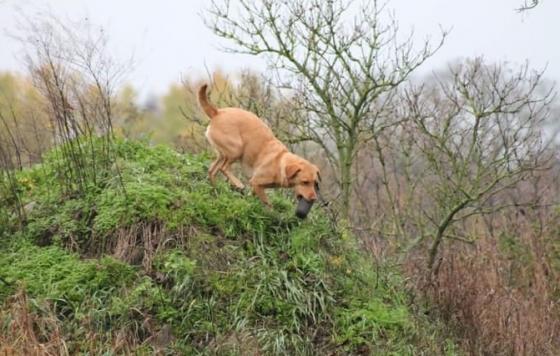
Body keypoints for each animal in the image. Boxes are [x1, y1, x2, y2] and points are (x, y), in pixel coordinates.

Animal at [198, 84, 320, 217]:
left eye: (314, 183)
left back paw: (216, 190)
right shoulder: (256, 181)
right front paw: (271, 214)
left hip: (222, 154)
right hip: (236, 150)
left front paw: (248, 204)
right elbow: (267, 202)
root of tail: (218, 112)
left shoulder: (257, 186)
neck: (280, 161)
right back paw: (237, 184)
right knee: (223, 168)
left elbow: (253, 195)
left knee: (212, 170)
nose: (314, 198)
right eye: (304, 182)